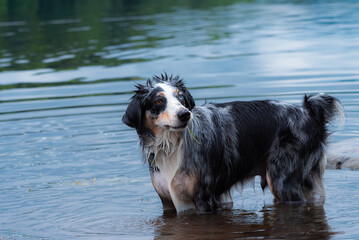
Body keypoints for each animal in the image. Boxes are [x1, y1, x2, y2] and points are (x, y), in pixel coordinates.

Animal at [122, 73, 344, 214]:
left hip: (284, 180)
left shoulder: (205, 199)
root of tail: (308, 112)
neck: (172, 147)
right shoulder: (167, 201)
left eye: (181, 98)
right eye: (158, 101)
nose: (185, 114)